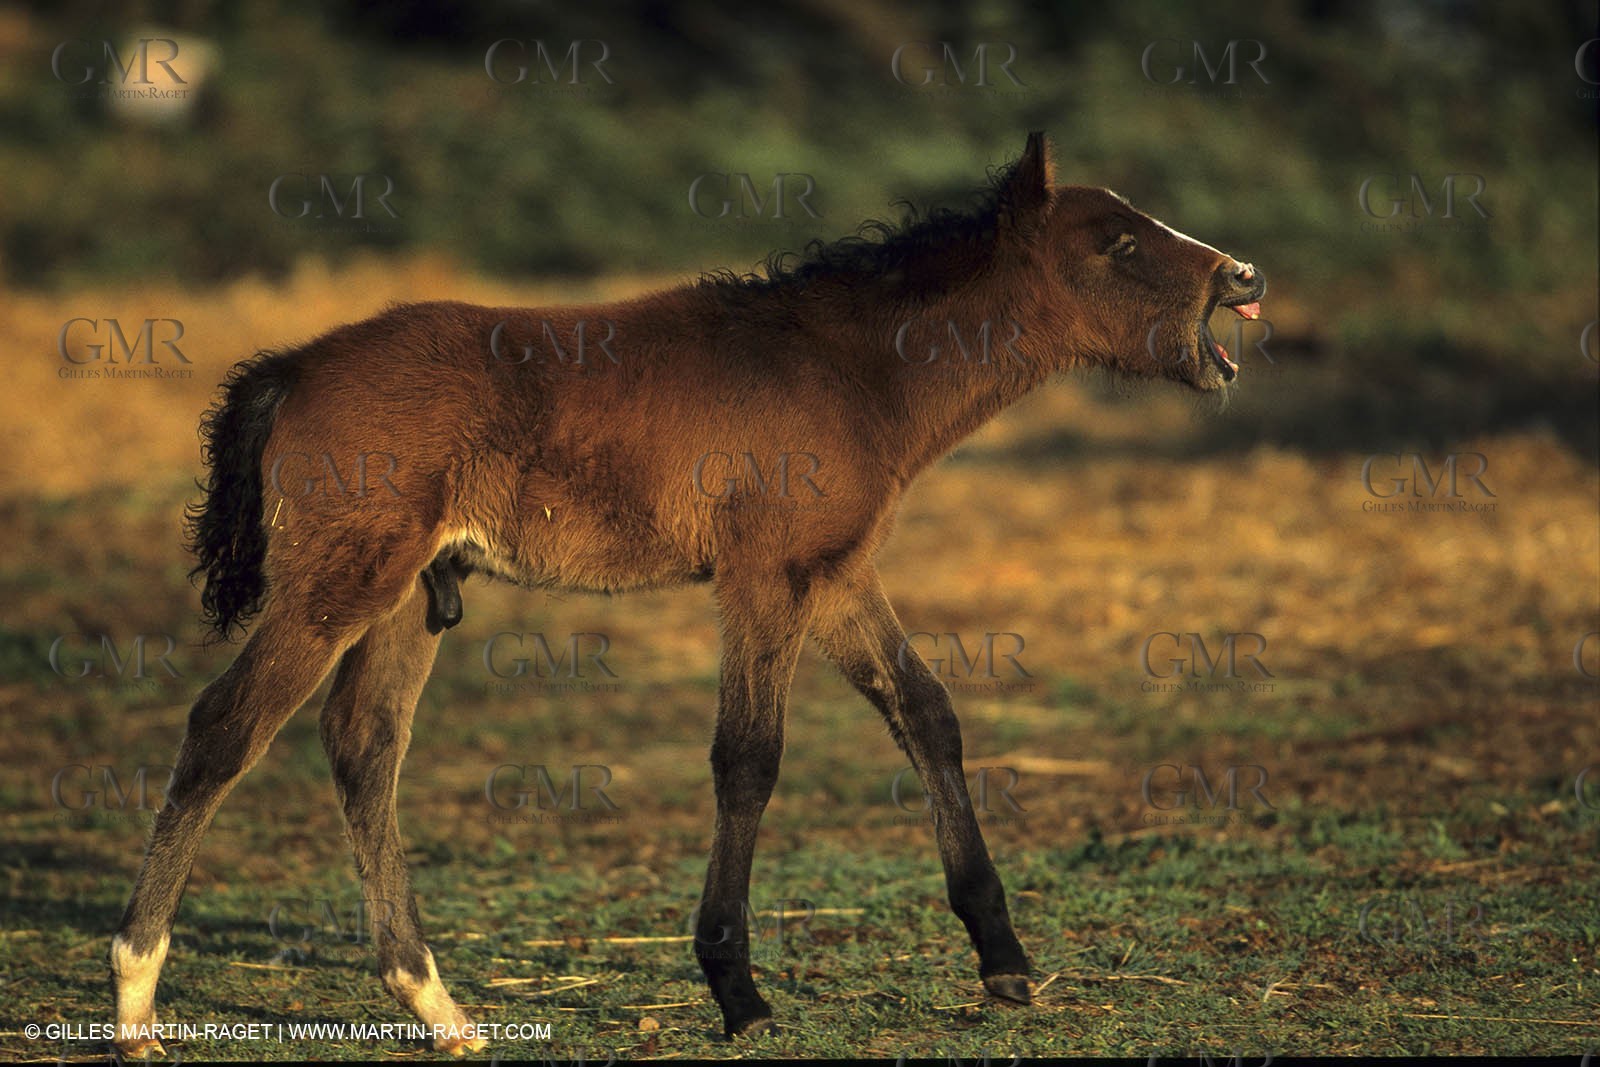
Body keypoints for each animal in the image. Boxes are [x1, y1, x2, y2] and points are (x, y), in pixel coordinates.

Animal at [110, 130, 1265, 1054]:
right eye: (1119, 244)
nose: (1244, 275)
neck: (850, 368)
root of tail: (295, 366)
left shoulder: (834, 572)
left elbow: (926, 714)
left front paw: (1003, 957)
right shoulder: (764, 579)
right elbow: (747, 758)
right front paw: (737, 989)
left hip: (401, 597)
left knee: (363, 745)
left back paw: (438, 1006)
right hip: (341, 581)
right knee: (226, 725)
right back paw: (134, 1000)